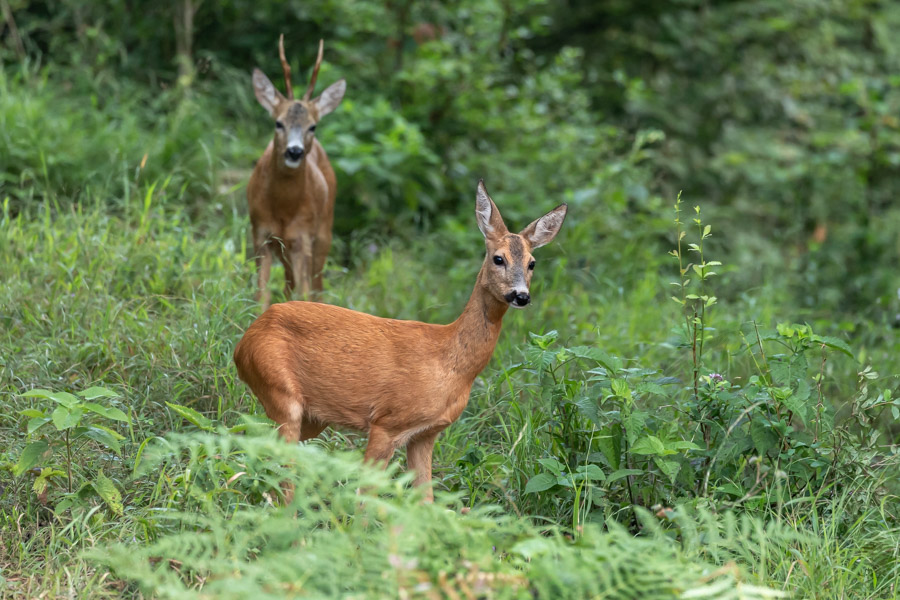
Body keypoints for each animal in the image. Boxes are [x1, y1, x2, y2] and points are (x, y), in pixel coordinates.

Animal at [236, 179, 568, 502]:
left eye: (532, 263)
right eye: (499, 258)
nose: (521, 296)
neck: (450, 363)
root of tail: (244, 343)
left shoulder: (425, 434)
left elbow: (425, 501)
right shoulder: (387, 422)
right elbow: (365, 497)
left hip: (312, 418)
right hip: (280, 391)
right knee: (280, 472)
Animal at [248, 35, 346, 310]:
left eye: (312, 126)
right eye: (278, 122)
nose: (294, 151)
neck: (283, 209)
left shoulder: (303, 237)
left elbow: (305, 293)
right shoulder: (260, 233)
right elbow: (261, 296)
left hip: (323, 231)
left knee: (316, 287)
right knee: (289, 285)